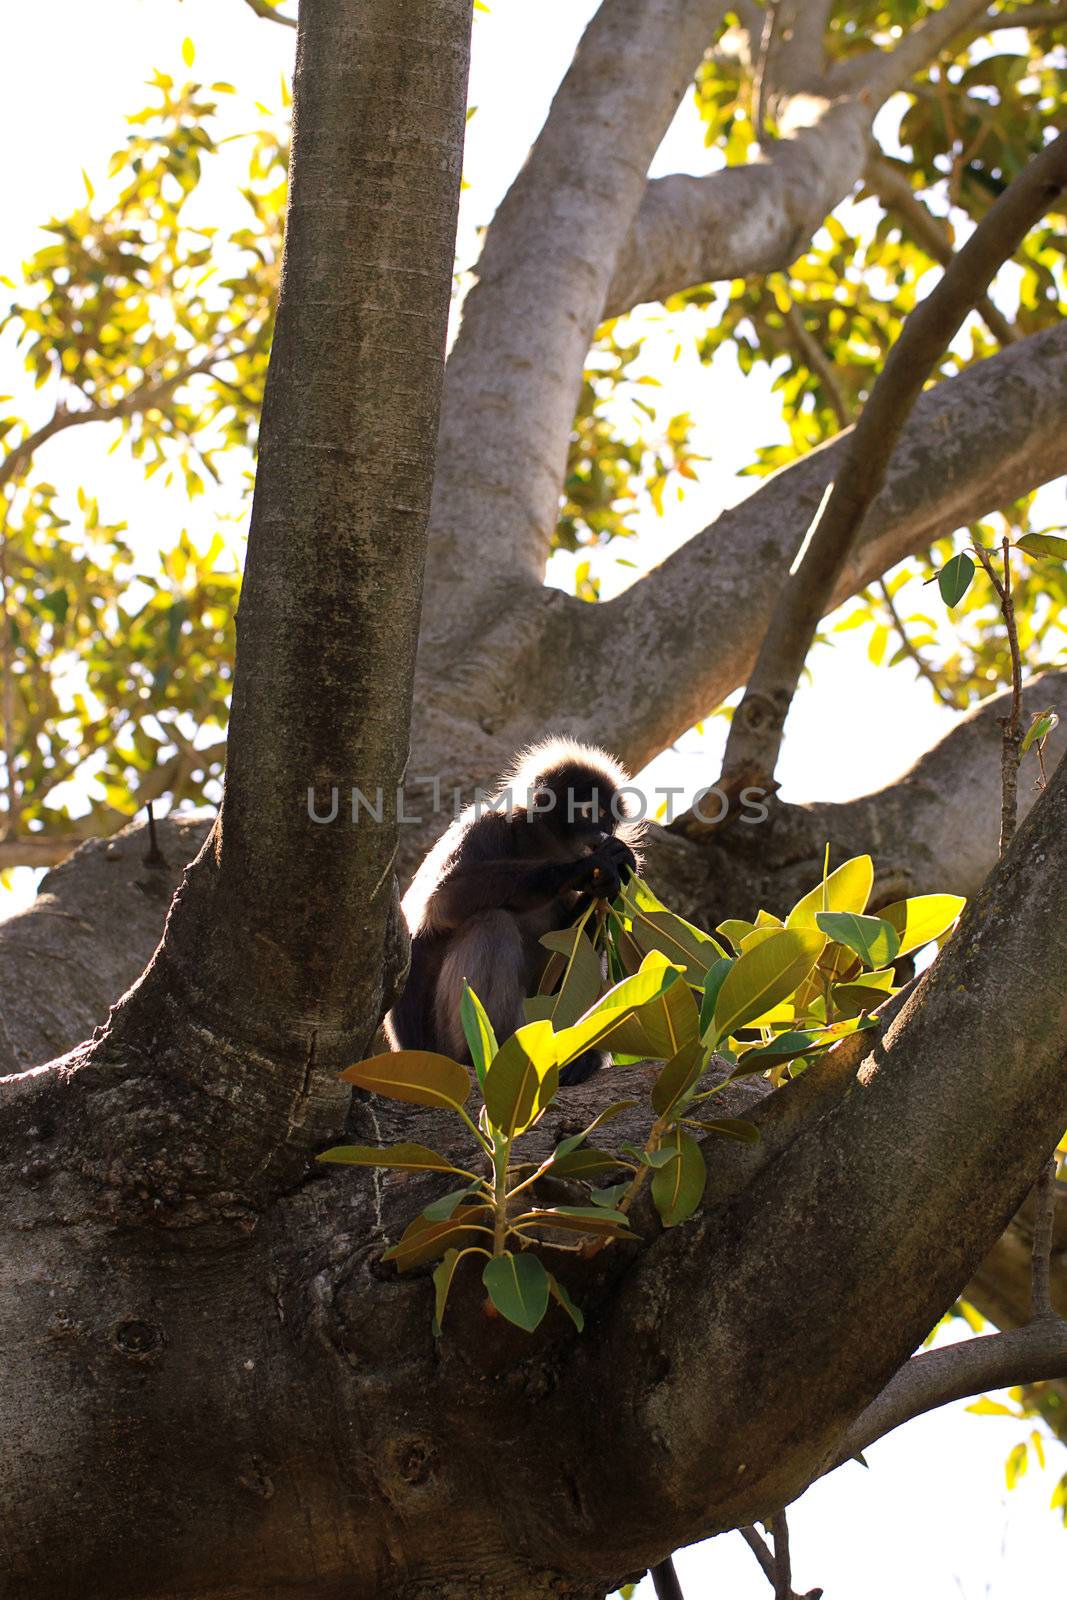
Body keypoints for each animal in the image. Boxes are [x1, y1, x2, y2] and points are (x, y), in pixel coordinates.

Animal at [385, 736, 643, 1088]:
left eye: (610, 819)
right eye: (591, 811)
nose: (603, 835)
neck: (539, 845)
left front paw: (615, 872)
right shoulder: (483, 827)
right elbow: (441, 901)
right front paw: (581, 868)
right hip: (443, 1040)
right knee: (493, 921)